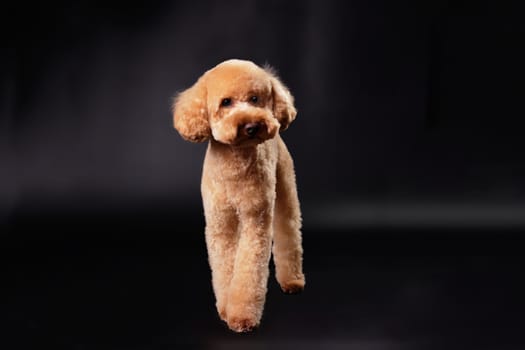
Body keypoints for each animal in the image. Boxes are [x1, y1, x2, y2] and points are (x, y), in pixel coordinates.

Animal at [172, 58, 302, 332]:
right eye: (226, 102)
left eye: (255, 98)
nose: (252, 126)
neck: (236, 165)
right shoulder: (220, 222)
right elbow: (224, 266)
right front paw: (225, 308)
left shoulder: (256, 218)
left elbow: (249, 269)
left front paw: (242, 316)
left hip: (285, 186)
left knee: (289, 229)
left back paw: (293, 280)